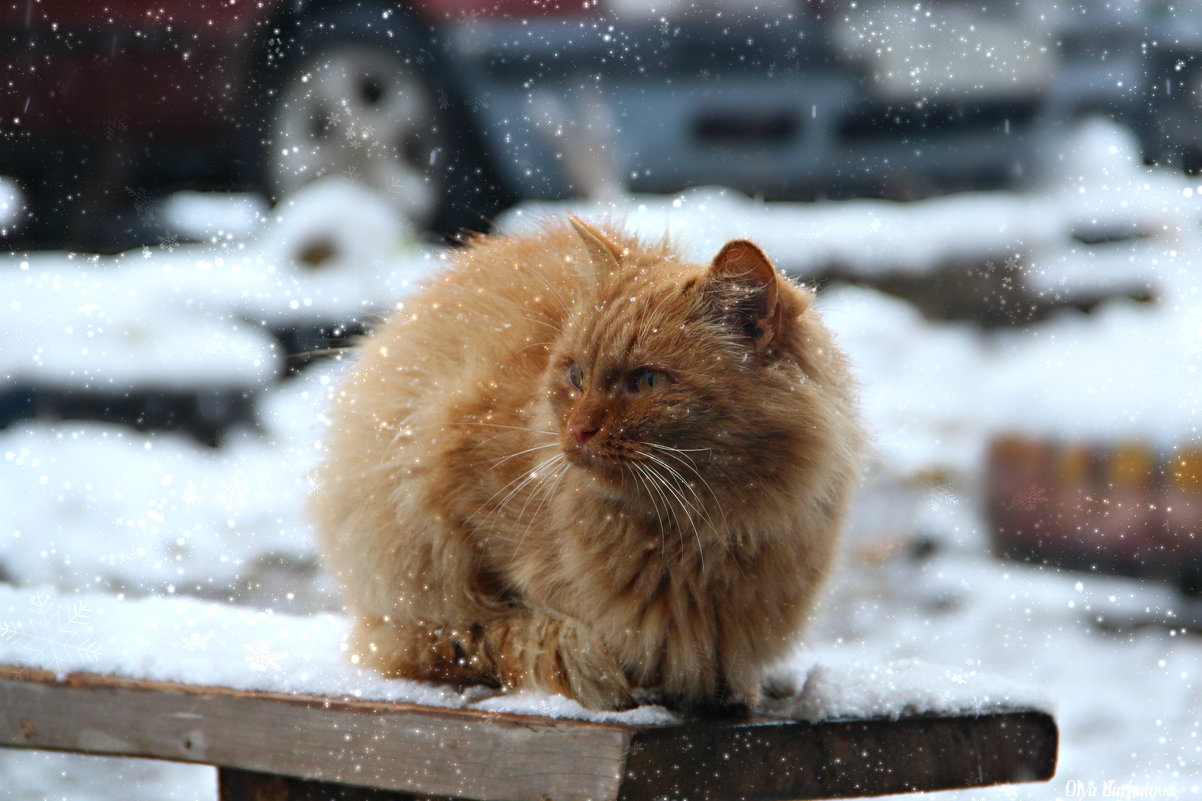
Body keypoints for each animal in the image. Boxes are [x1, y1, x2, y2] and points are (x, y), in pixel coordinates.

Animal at [312, 215, 865, 707]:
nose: (576, 429)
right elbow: (493, 624)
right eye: (576, 375)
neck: (692, 537)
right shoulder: (442, 481)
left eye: (646, 382)